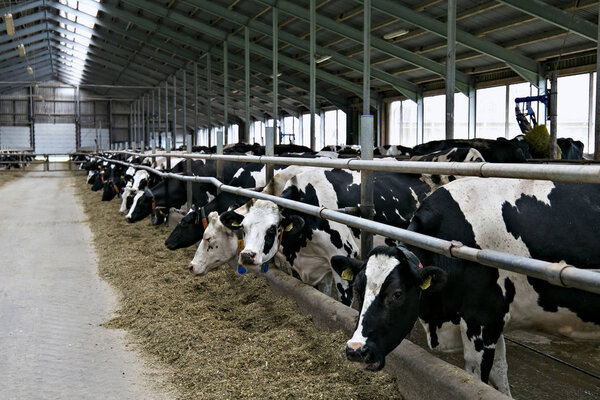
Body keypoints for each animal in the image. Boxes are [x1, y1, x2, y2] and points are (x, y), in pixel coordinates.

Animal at [338, 178, 600, 396]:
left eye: (397, 294)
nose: (356, 349)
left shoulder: (482, 321)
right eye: (358, 289)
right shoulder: (493, 322)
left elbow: (477, 378)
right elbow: (500, 373)